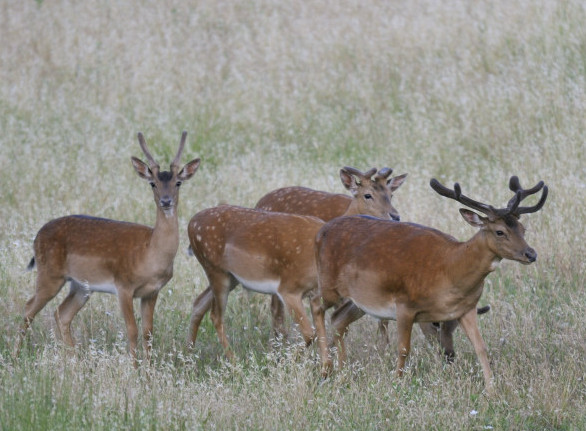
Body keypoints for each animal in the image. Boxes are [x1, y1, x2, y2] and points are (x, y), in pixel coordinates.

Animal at [15, 132, 201, 364]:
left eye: (178, 183)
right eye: (153, 183)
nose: (166, 202)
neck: (150, 253)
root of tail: (37, 236)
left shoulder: (152, 291)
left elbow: (148, 332)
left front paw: (149, 369)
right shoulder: (123, 286)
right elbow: (132, 330)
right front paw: (135, 368)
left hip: (81, 286)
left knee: (62, 313)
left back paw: (76, 360)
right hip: (49, 274)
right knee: (29, 308)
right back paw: (15, 357)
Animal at [187, 167, 402, 356]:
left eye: (390, 194)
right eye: (367, 195)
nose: (395, 216)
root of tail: (191, 224)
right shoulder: (293, 288)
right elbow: (311, 333)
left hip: (229, 276)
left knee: (199, 303)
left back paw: (189, 354)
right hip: (216, 270)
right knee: (216, 315)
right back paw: (232, 360)